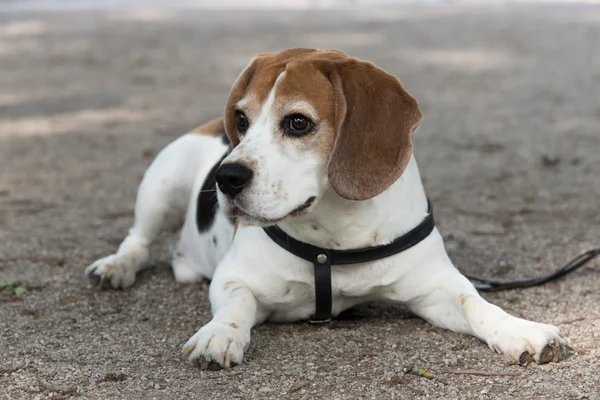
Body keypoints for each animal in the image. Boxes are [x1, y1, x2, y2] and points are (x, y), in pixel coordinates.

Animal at [84, 47, 568, 368]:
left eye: (298, 123)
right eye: (241, 119)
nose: (227, 177)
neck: (336, 236)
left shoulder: (436, 288)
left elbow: (477, 305)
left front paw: (519, 329)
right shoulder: (234, 278)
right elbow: (235, 306)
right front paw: (219, 334)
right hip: (162, 183)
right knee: (137, 239)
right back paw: (116, 267)